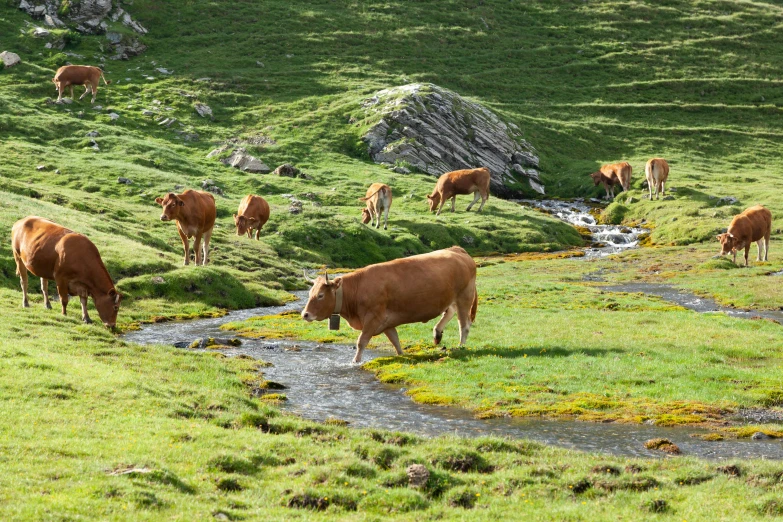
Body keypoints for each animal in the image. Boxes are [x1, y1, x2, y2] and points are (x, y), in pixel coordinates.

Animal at [300, 245, 478, 362]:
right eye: (310, 293)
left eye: (320, 295)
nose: (305, 314)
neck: (358, 288)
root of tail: (457, 249)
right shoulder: (386, 322)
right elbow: (395, 340)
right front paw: (401, 355)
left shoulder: (373, 318)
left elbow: (361, 342)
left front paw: (354, 362)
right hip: (451, 297)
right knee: (449, 311)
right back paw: (437, 333)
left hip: (464, 296)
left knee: (464, 325)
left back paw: (460, 346)